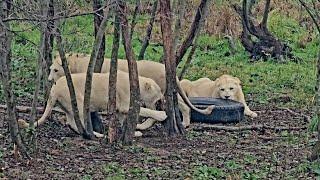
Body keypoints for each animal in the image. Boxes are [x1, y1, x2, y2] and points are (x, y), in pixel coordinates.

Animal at [17, 71, 168, 137]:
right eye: (159, 91)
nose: (163, 97)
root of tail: (54, 88)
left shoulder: (120, 109)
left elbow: (124, 121)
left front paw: (135, 131)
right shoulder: (125, 105)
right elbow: (144, 110)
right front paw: (162, 115)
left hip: (67, 107)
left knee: (72, 122)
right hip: (79, 103)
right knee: (79, 122)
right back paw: (97, 135)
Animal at [48, 53, 212, 128]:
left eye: (55, 70)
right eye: (51, 69)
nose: (49, 80)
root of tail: (167, 69)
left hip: (153, 97)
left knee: (156, 112)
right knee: (183, 105)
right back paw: (185, 123)